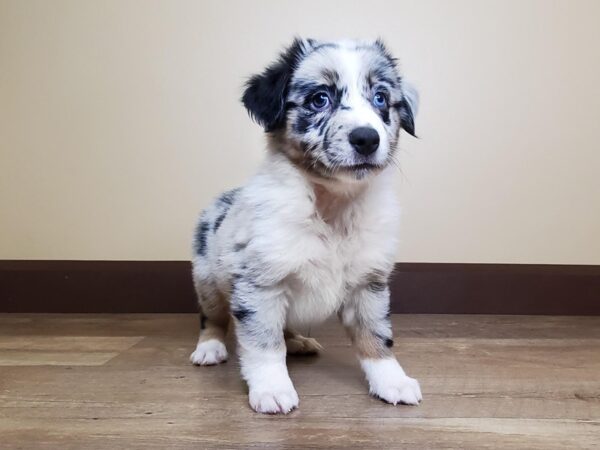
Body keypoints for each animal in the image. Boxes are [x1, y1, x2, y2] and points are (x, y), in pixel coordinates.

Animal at [190, 38, 420, 414]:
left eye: (381, 98)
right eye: (319, 99)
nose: (367, 139)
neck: (331, 208)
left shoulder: (369, 283)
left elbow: (376, 336)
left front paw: (392, 381)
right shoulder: (261, 283)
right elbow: (264, 344)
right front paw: (271, 388)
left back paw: (298, 341)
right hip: (207, 279)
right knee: (214, 317)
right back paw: (210, 348)